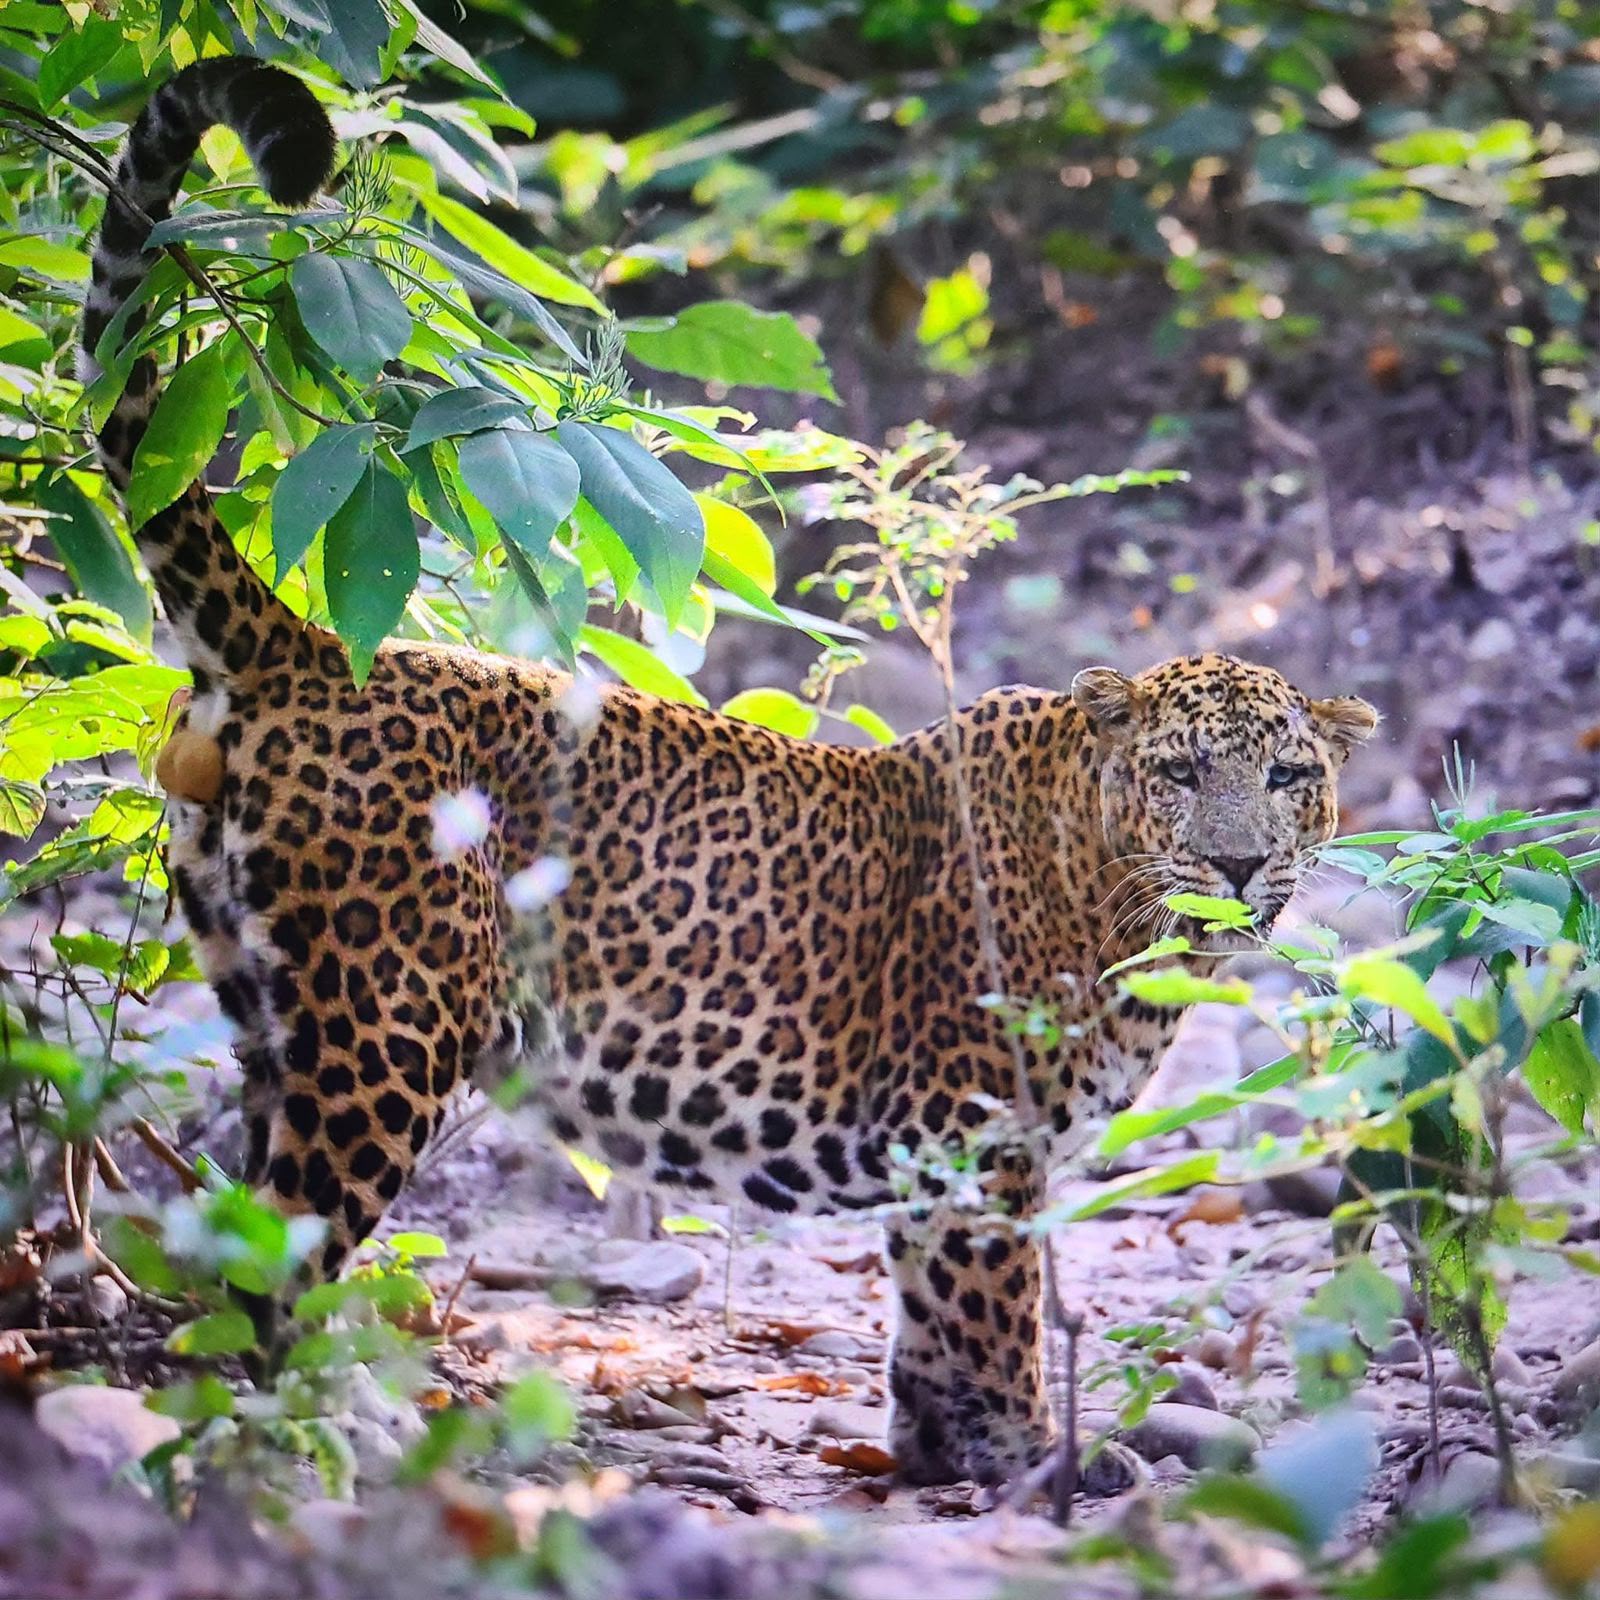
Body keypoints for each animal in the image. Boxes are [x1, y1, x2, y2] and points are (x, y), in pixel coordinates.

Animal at [82, 57, 1378, 1486]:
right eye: (1181, 772)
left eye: (1289, 777)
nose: (1239, 864)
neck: (1112, 894)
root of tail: (310, 646)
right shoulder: (972, 1136)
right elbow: (988, 1299)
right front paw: (1031, 1453)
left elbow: (927, 1312)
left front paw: (934, 1445)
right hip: (383, 1025)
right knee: (281, 1251)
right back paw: (319, 1442)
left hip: (269, 1013)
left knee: (234, 1239)